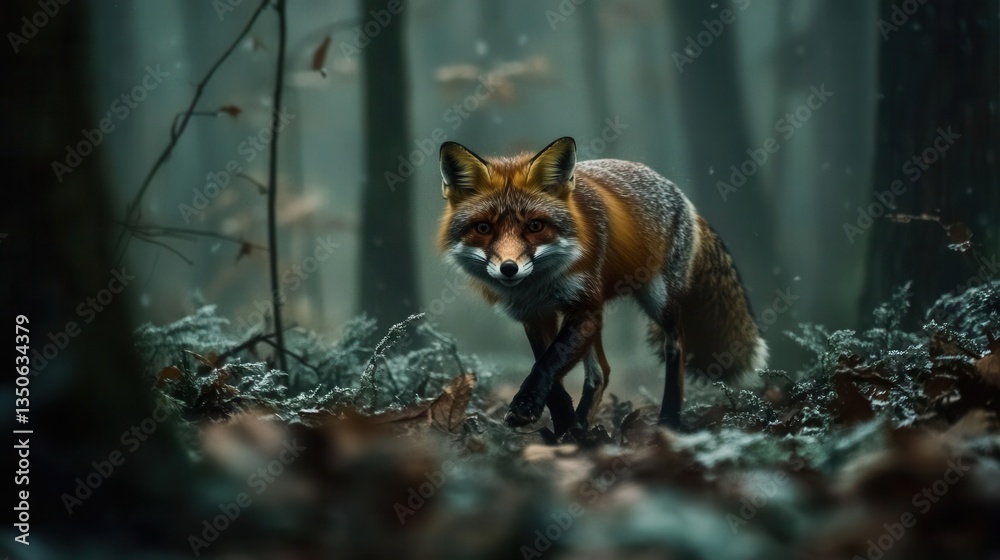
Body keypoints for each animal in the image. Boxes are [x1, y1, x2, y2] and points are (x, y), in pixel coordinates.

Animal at [437, 137, 768, 438]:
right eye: (484, 228)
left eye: (535, 226)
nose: (508, 268)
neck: (541, 284)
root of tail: (681, 196)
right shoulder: (535, 314)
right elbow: (552, 377)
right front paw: (565, 430)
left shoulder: (583, 306)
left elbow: (547, 364)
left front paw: (530, 409)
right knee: (602, 372)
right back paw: (584, 425)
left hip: (658, 300)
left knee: (676, 347)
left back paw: (668, 421)